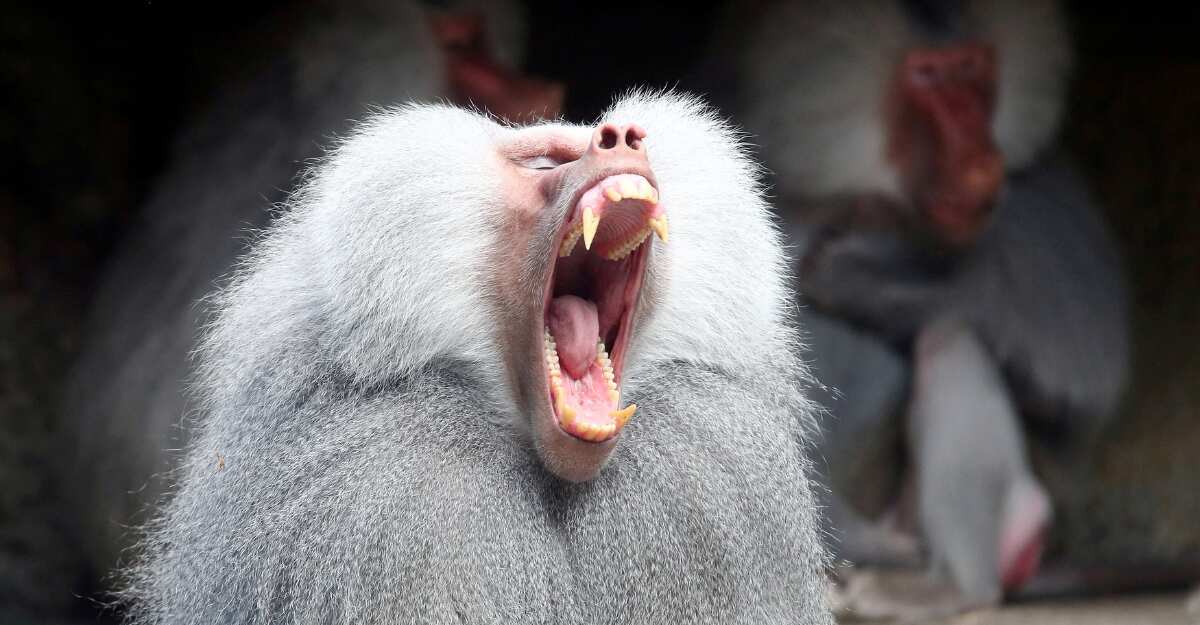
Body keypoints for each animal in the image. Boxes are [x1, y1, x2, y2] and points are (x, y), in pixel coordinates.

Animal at [724, 0, 1130, 615]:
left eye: (973, 69)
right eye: (928, 77)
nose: (981, 162)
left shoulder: (1041, 201)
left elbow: (1076, 381)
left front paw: (849, 273)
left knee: (949, 341)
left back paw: (939, 591)